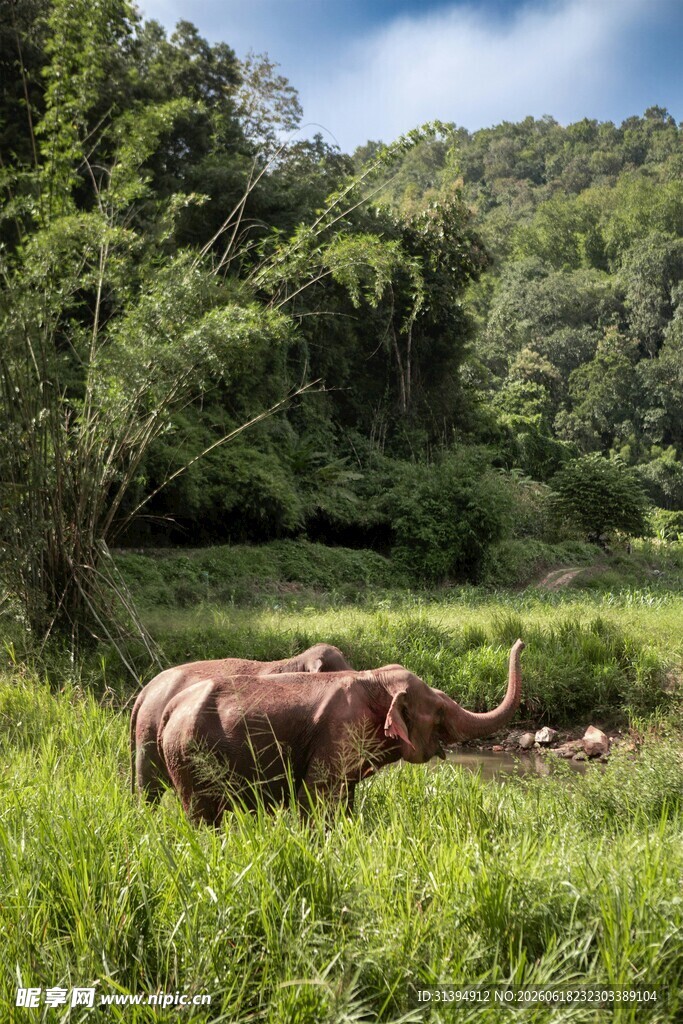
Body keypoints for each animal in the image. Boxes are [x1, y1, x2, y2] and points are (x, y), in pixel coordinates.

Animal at [157, 639, 524, 825]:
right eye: (439, 712)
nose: (521, 641)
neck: (373, 679)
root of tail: (168, 709)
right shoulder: (337, 733)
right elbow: (314, 796)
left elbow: (345, 798)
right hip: (189, 757)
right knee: (201, 814)